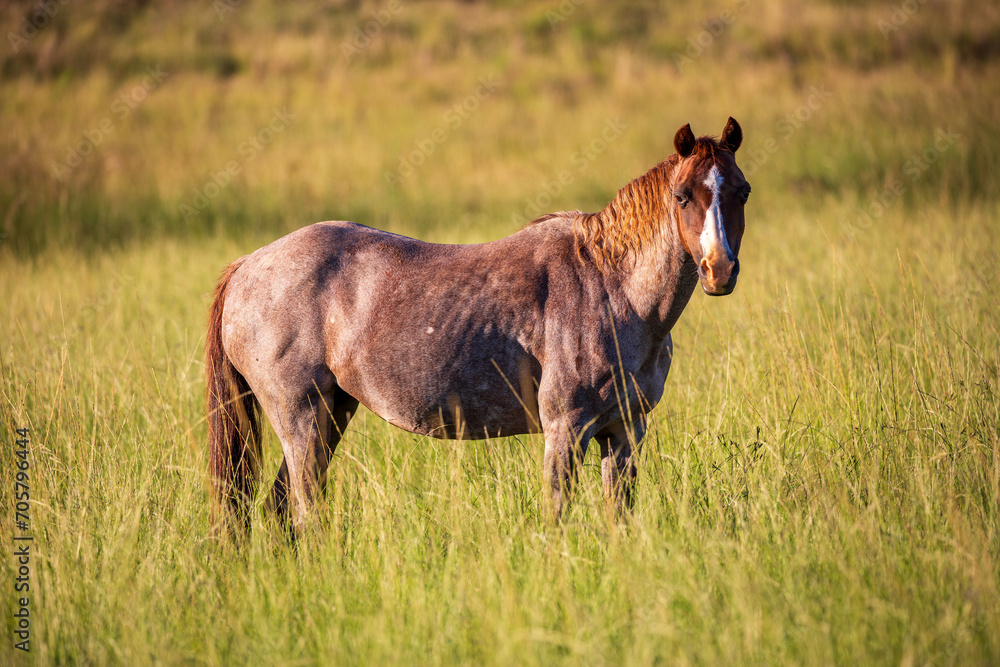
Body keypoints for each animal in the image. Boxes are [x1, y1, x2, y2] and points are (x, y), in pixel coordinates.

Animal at [206, 118, 750, 534]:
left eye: (742, 192)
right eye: (681, 195)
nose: (719, 270)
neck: (611, 287)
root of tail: (247, 266)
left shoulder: (624, 431)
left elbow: (620, 516)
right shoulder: (566, 429)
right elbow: (557, 515)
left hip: (332, 412)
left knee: (279, 508)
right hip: (299, 416)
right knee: (304, 510)